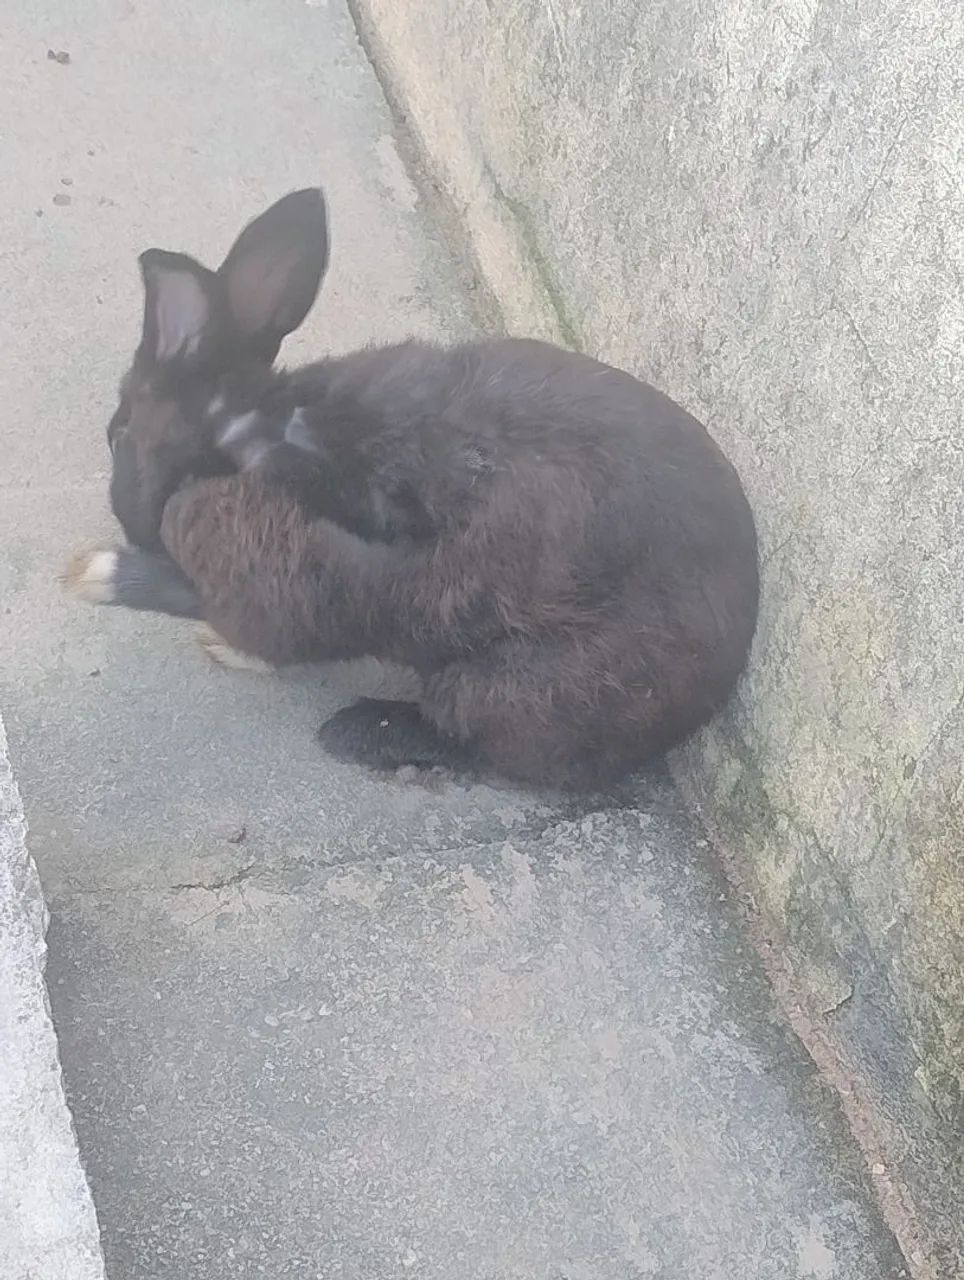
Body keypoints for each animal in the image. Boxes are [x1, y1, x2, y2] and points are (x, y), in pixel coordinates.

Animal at [64, 187, 759, 790]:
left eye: (117, 434)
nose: (129, 525)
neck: (257, 432)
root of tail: (698, 709)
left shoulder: (285, 583)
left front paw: (98, 576)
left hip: (513, 687)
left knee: (472, 737)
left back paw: (356, 731)